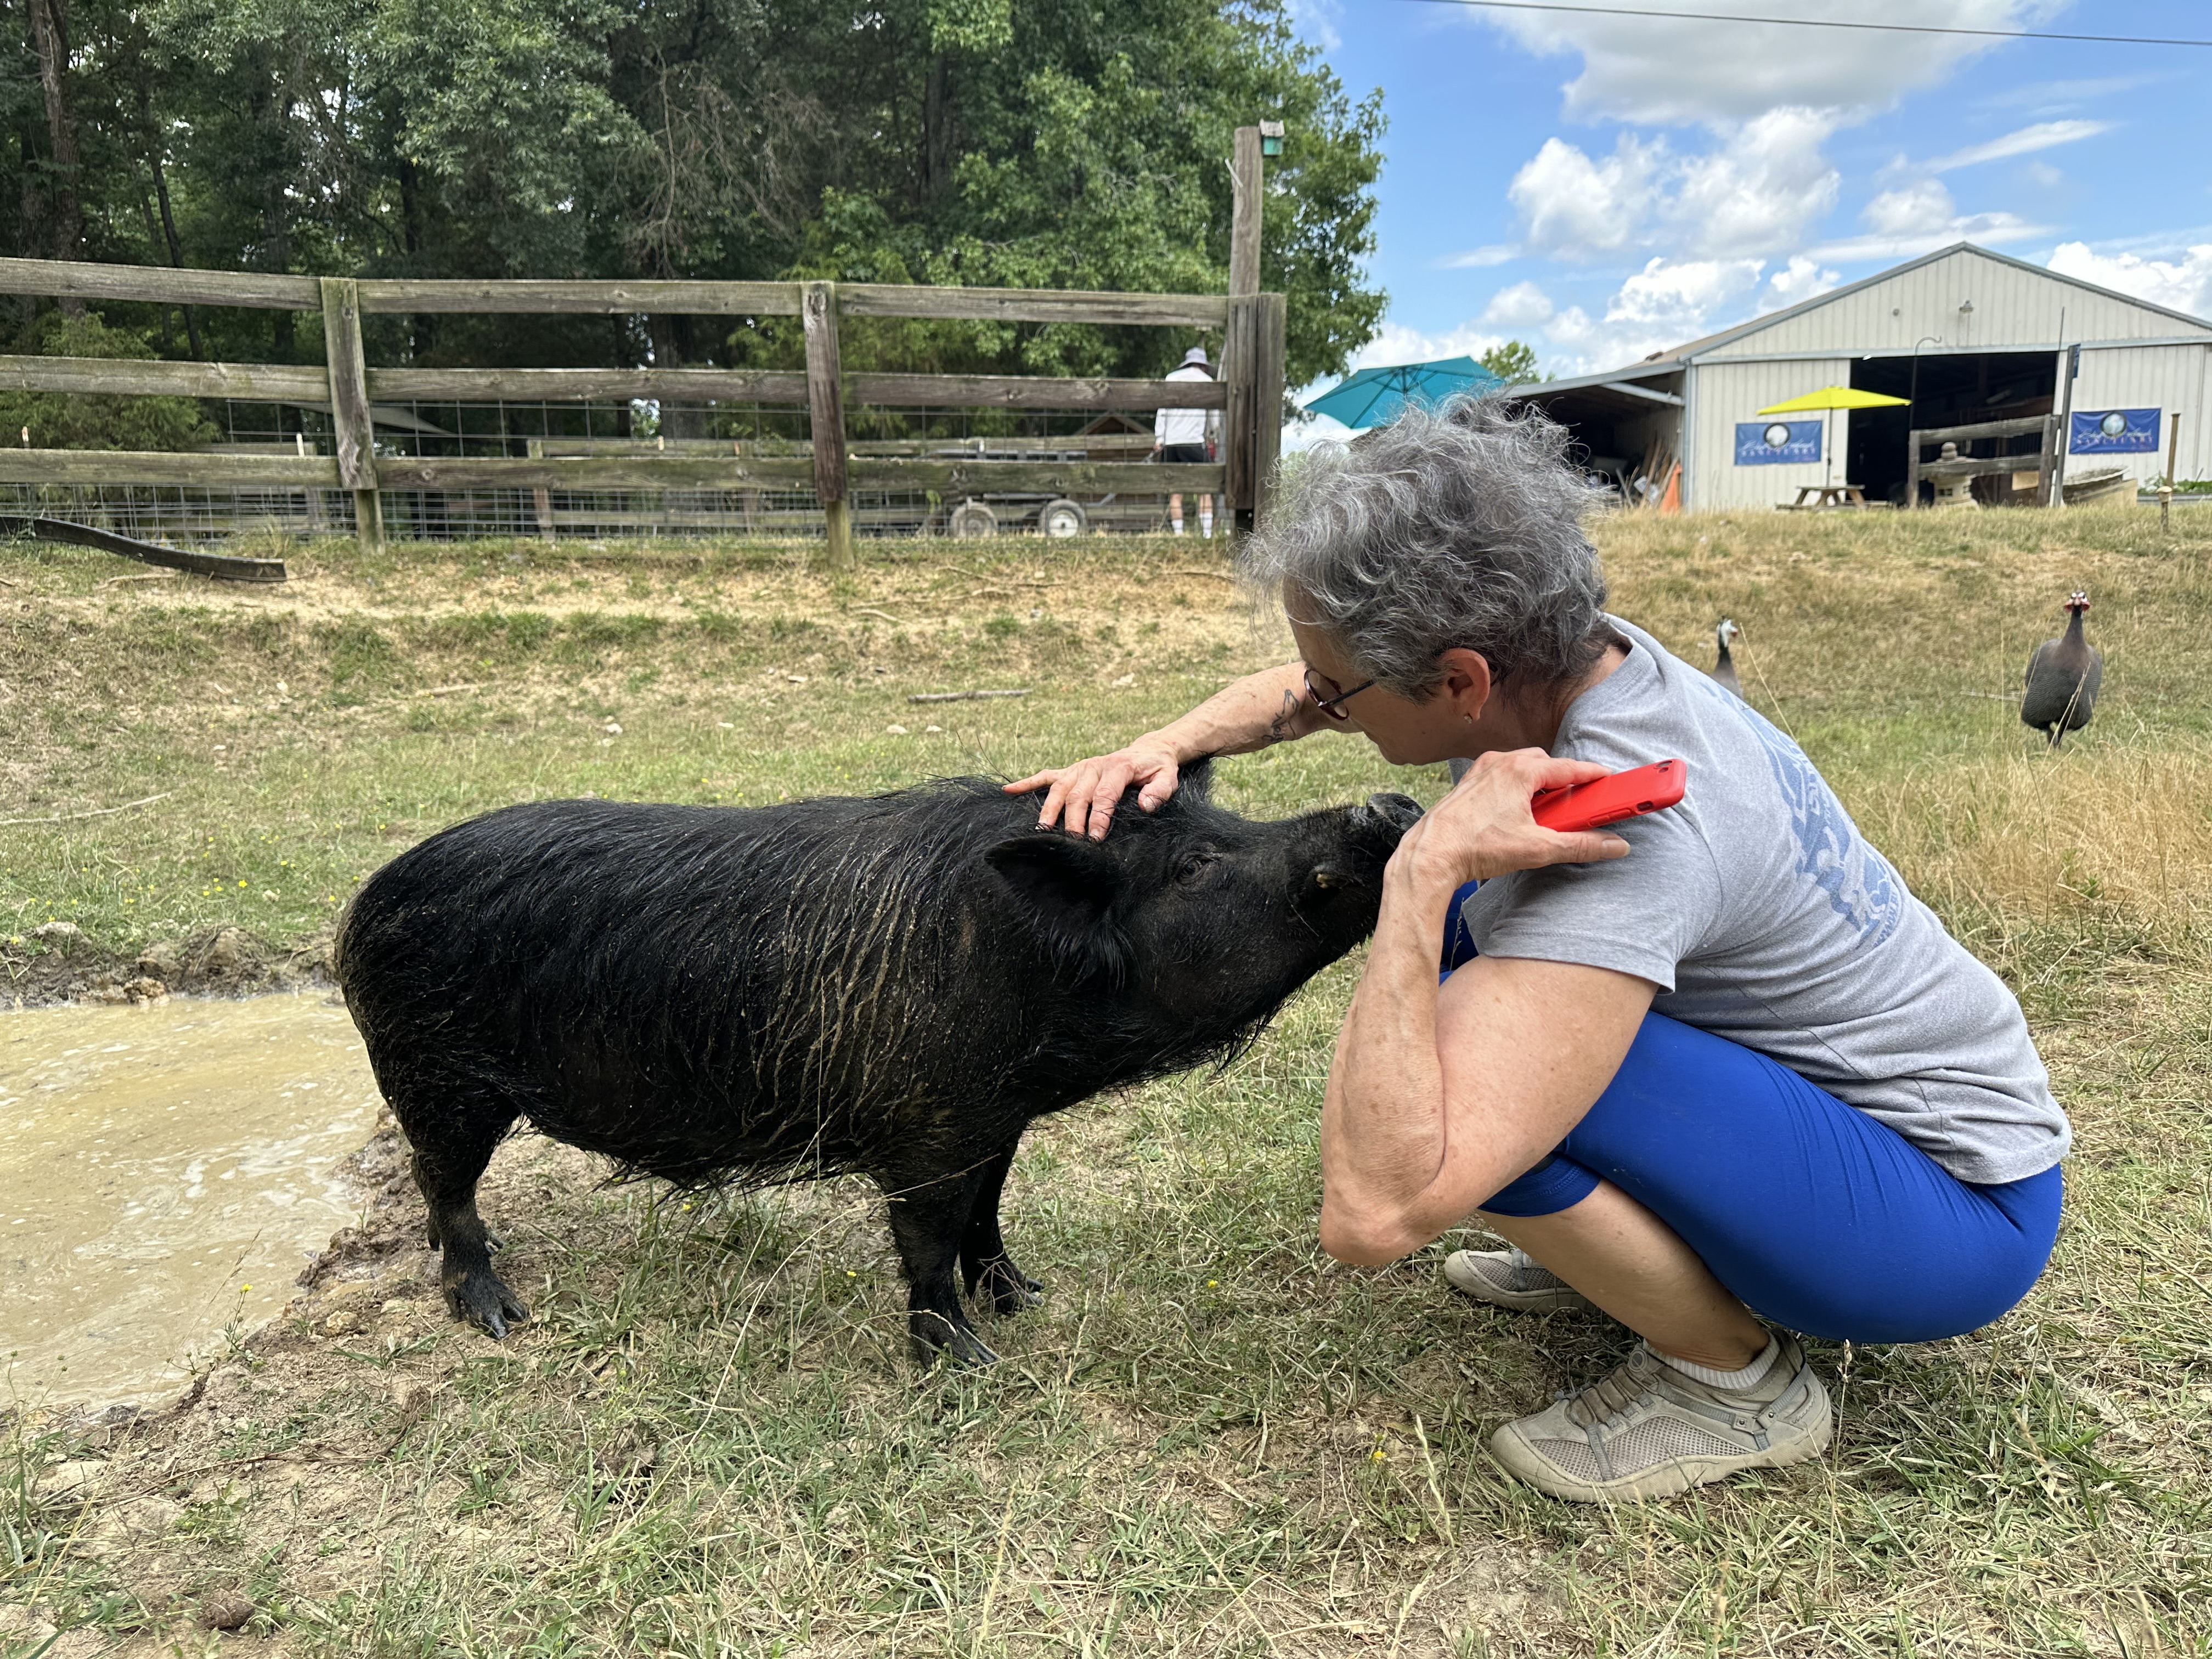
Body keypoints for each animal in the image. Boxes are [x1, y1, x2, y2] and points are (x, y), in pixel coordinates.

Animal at [333, 765, 1420, 1365]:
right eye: (1194, 866)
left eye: (1228, 828)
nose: (1388, 803)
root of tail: (362, 903)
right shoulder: (926, 1125)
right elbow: (928, 1242)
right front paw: (971, 1367)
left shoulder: (994, 1121)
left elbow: (988, 1214)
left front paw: (1028, 1299)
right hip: (436, 1079)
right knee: (445, 1190)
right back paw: (498, 1318)